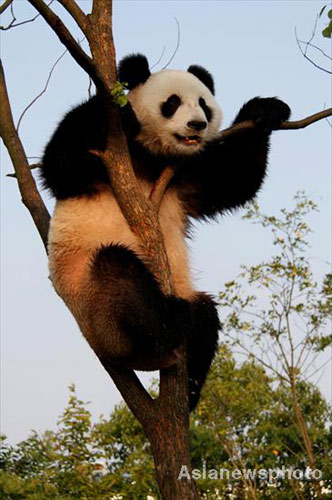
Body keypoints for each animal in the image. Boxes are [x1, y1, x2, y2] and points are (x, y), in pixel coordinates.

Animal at [40, 52, 290, 410]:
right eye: (172, 103)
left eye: (203, 105)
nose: (197, 125)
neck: (152, 155)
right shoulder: (100, 163)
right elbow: (57, 162)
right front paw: (114, 104)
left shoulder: (184, 179)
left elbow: (234, 179)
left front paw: (265, 111)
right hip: (96, 309)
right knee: (116, 269)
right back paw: (170, 323)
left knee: (206, 319)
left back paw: (190, 387)